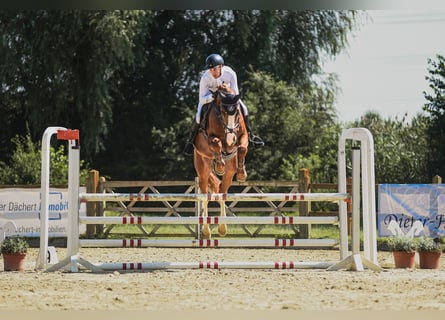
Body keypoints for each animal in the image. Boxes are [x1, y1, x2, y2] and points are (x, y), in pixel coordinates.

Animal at [193, 89, 250, 238]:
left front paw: (242, 174)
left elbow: (242, 148)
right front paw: (219, 165)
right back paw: (206, 231)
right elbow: (216, 142)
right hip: (202, 171)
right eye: (223, 112)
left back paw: (223, 228)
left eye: (237, 113)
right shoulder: (212, 138)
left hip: (229, 173)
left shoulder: (243, 135)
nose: (230, 138)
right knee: (205, 196)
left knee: (222, 193)